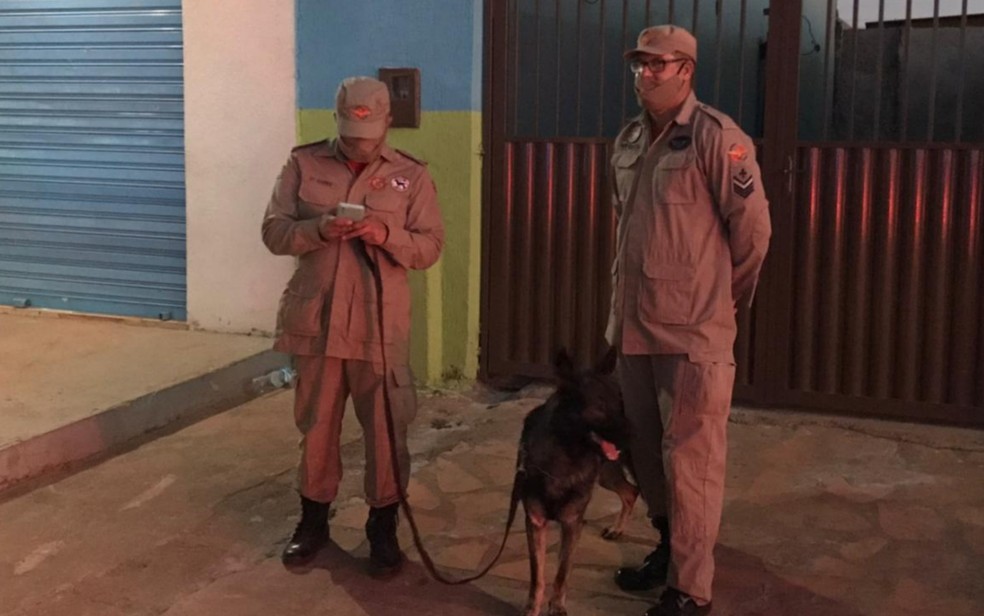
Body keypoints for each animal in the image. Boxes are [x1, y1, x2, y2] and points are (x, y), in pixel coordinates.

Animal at [516, 348, 640, 612]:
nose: (634, 434)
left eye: (620, 405)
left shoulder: (572, 524)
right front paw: (532, 609)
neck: (563, 459)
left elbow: (562, 573)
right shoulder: (535, 523)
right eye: (600, 407)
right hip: (606, 475)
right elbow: (537, 576)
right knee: (630, 491)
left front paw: (557, 608)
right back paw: (617, 529)